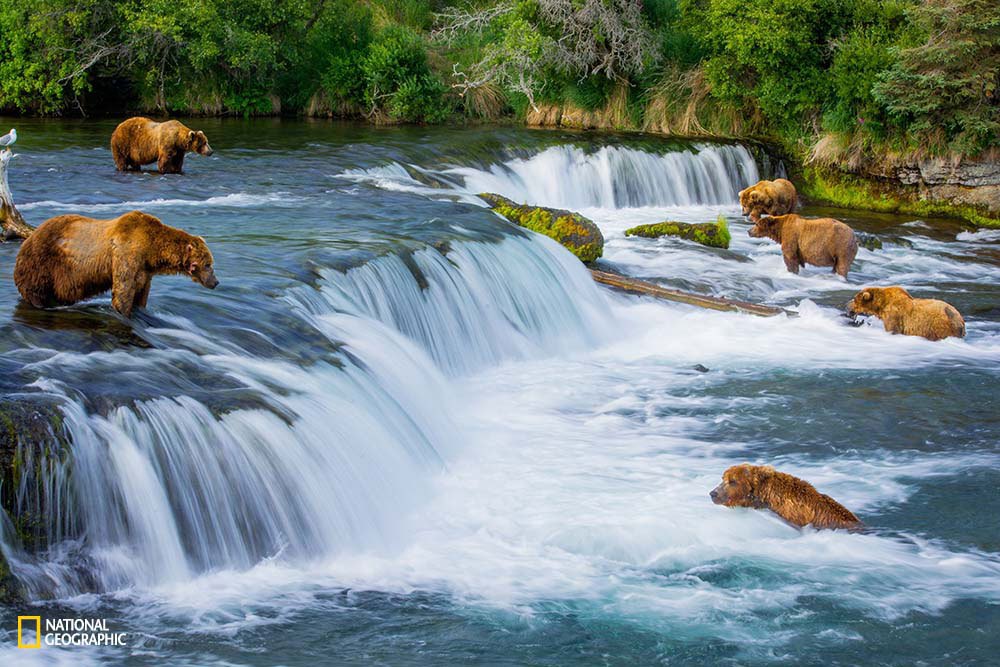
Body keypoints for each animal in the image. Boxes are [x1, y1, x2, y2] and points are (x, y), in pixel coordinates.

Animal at [13, 213, 218, 320]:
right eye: (208, 264)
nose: (216, 282)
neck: (151, 249)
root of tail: (30, 236)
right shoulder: (126, 254)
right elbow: (123, 290)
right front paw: (123, 313)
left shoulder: (144, 270)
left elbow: (141, 292)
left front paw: (139, 309)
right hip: (43, 262)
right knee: (36, 288)